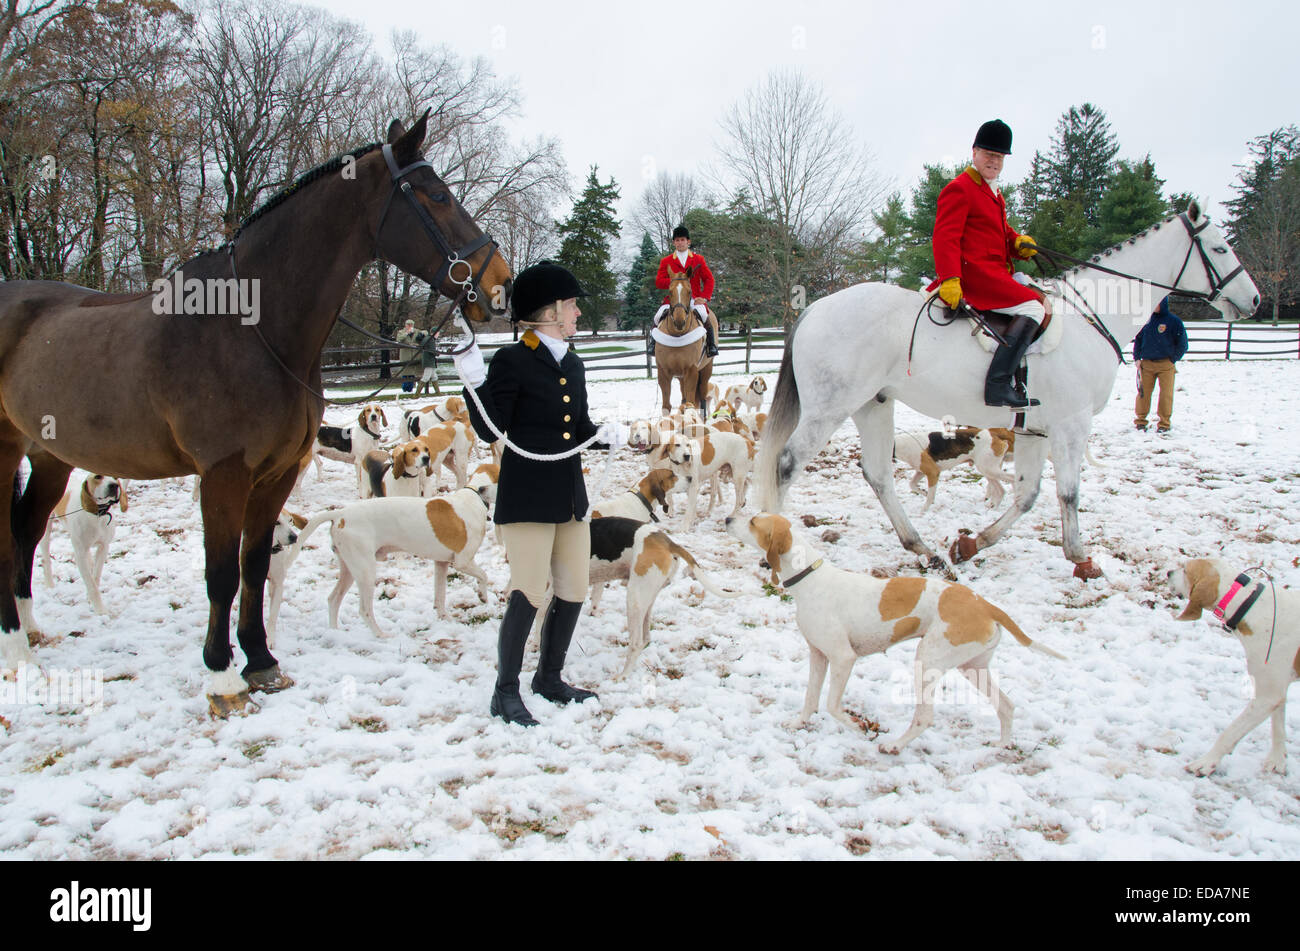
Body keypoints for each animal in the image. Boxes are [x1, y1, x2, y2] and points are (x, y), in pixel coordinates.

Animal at [0, 113, 512, 711]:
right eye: (436, 195)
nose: (501, 284)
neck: (251, 330)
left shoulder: (276, 472)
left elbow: (254, 563)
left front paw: (261, 660)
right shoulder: (224, 474)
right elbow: (222, 573)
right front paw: (223, 675)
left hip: (50, 457)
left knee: (25, 534)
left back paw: (30, 632)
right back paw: (17, 653)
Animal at [655, 268, 717, 413]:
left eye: (689, 292)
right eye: (669, 291)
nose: (679, 321)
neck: (676, 336)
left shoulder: (691, 371)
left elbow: (691, 404)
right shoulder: (663, 372)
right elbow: (666, 406)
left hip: (706, 370)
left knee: (702, 399)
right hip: (680, 376)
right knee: (684, 399)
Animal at [759, 206, 1253, 579]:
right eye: (1221, 248)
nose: (1255, 301)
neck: (1089, 315)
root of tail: (816, 308)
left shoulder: (1035, 430)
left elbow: (1028, 494)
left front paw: (971, 545)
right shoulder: (1073, 424)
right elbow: (1068, 492)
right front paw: (1081, 558)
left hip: (872, 405)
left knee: (878, 474)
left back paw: (924, 549)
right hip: (830, 406)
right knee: (787, 464)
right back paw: (782, 550)